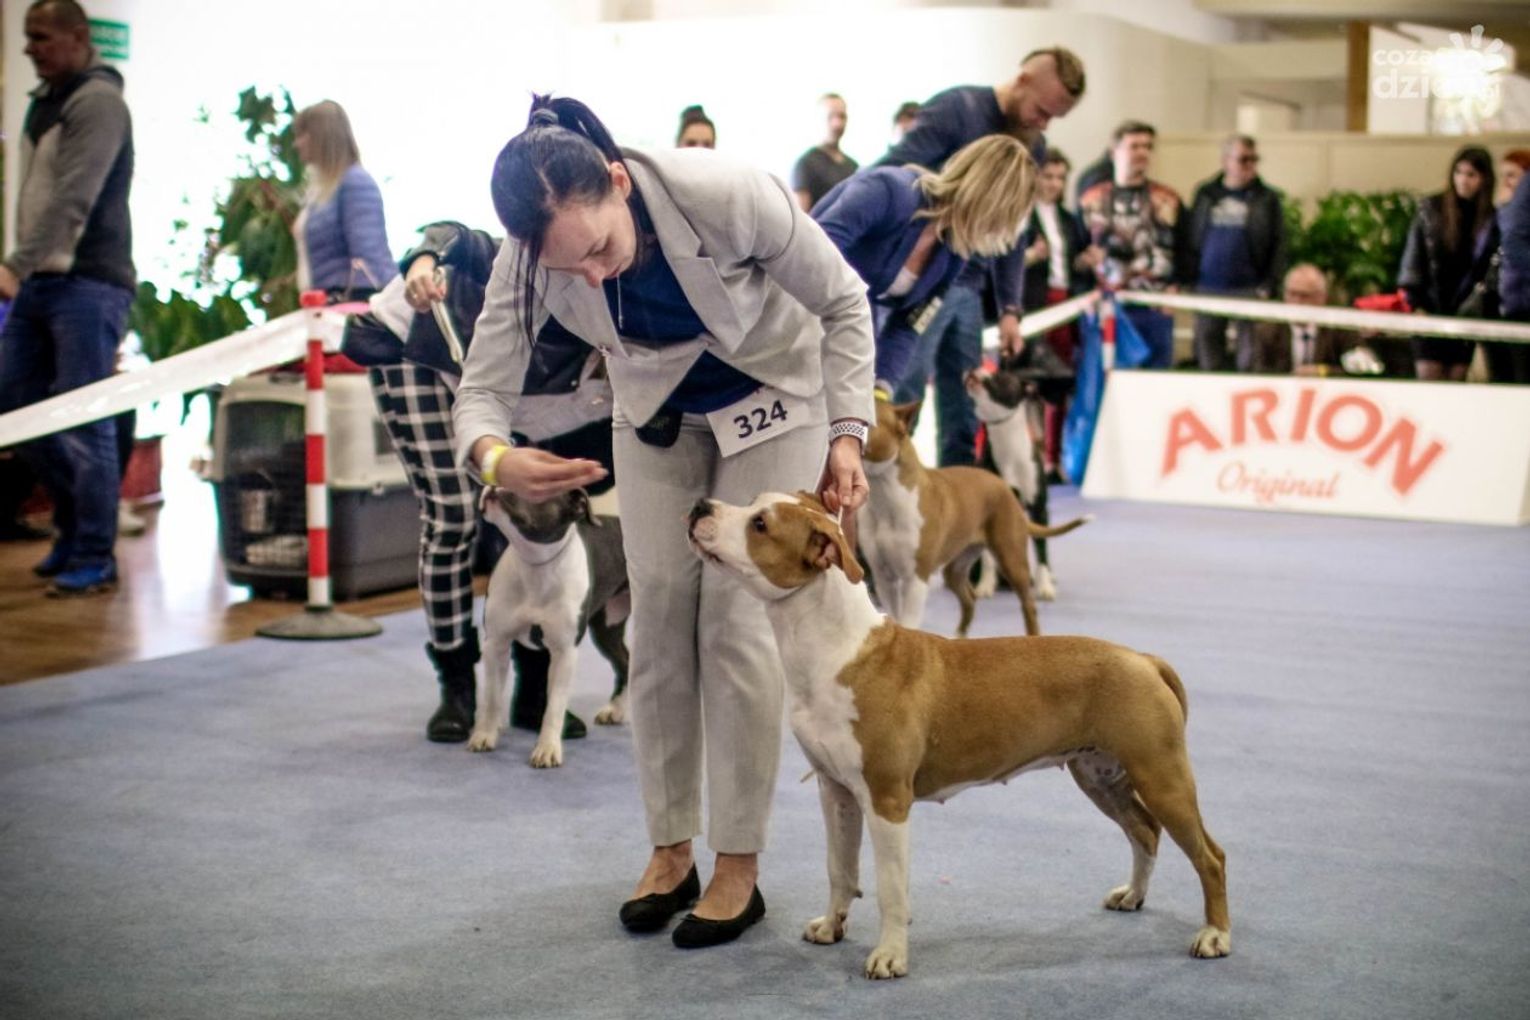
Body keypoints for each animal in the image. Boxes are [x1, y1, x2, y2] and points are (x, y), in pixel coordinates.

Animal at [469, 487, 630, 767]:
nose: (494, 486)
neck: (535, 564)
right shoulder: (496, 644)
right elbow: (491, 697)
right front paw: (485, 734)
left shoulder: (564, 653)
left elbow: (554, 707)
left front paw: (547, 749)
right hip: (608, 628)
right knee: (625, 660)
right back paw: (615, 710)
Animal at [687, 492, 1230, 978]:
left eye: (760, 523)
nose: (699, 506)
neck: (835, 648)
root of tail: (1144, 659)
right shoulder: (835, 791)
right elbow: (840, 868)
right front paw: (831, 926)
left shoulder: (887, 801)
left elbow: (890, 888)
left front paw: (890, 957)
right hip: (1099, 775)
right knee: (1144, 831)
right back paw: (1133, 895)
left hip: (1161, 775)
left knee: (1209, 855)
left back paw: (1214, 936)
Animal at [860, 398, 1088, 637]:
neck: (885, 495)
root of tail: (1004, 487)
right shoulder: (884, 576)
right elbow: (896, 617)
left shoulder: (916, 577)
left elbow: (908, 621)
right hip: (957, 565)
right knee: (968, 599)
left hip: (1011, 558)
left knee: (1028, 605)